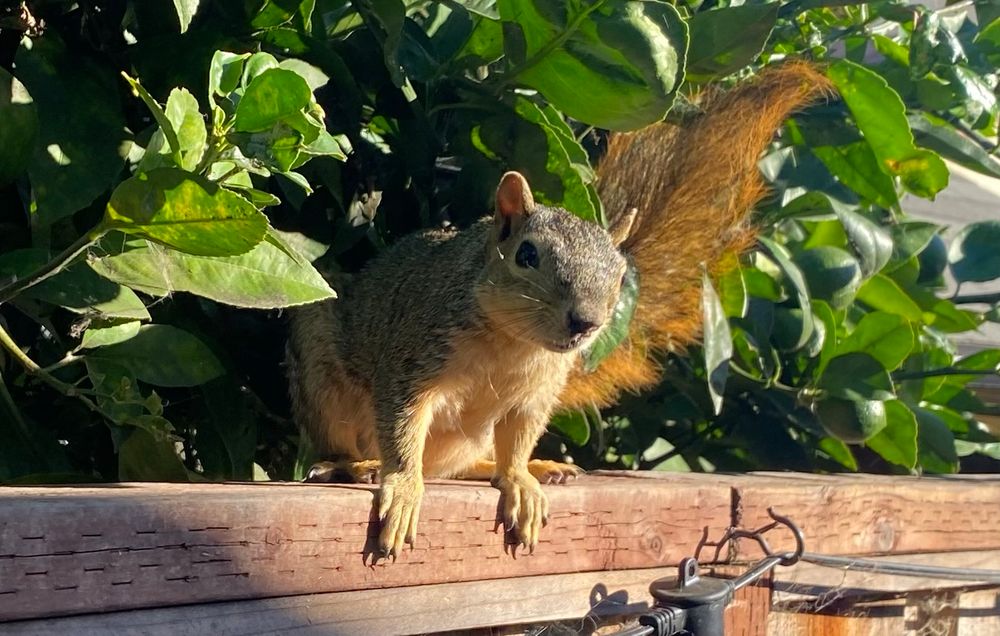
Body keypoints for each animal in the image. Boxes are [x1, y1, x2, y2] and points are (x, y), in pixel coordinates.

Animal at [286, 62, 832, 557]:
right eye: (527, 255)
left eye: (621, 275)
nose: (585, 322)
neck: (512, 344)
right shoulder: (413, 358)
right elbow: (402, 427)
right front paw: (401, 487)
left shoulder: (534, 395)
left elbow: (518, 441)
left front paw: (519, 479)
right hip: (320, 370)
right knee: (349, 443)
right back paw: (355, 466)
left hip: (467, 439)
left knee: (463, 463)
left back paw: (532, 468)